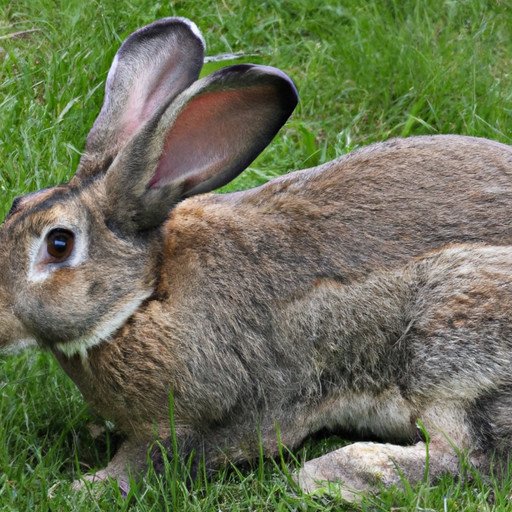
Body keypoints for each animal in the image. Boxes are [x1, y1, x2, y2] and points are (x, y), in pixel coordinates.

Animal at [0, 17, 512, 500]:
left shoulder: (194, 421)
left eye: (59, 244)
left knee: (469, 456)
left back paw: (330, 473)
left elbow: (148, 462)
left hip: (448, 339)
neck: (145, 295)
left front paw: (83, 487)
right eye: (17, 204)